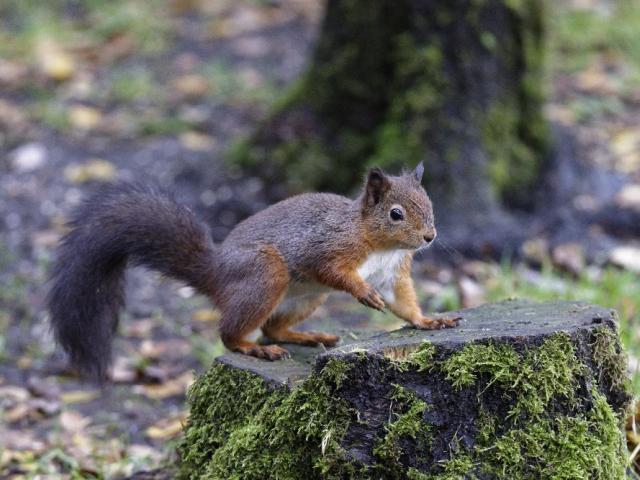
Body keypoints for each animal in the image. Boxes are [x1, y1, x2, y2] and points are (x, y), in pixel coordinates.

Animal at [47, 162, 460, 379]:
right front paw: (363, 292)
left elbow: (403, 302)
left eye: (429, 203)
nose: (430, 236)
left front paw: (429, 321)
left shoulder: (394, 273)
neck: (382, 246)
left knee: (273, 328)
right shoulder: (327, 248)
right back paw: (253, 348)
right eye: (396, 213)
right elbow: (332, 270)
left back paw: (307, 337)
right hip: (267, 273)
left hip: (305, 298)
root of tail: (216, 272)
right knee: (231, 334)